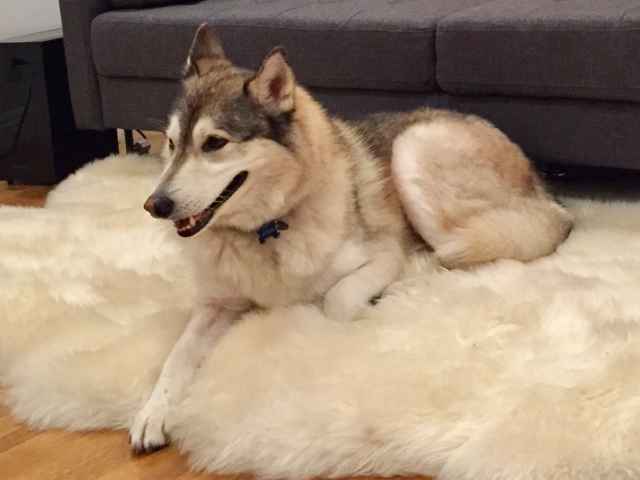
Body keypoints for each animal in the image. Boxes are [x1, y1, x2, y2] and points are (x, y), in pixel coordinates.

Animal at [132, 24, 573, 453]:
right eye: (171, 143)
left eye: (214, 143)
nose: (155, 205)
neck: (267, 229)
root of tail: (545, 194)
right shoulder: (216, 304)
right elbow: (177, 356)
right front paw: (153, 412)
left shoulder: (380, 255)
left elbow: (338, 301)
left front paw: (371, 304)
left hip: (412, 153)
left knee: (460, 254)